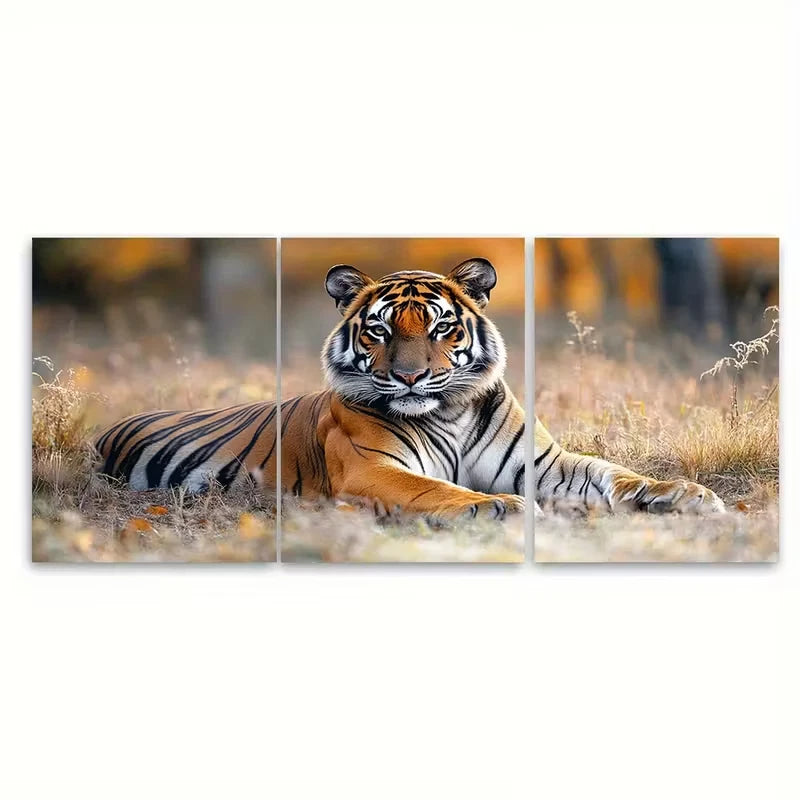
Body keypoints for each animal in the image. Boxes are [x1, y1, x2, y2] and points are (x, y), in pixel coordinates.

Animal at [96, 258, 526, 521]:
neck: (450, 412)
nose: (409, 376)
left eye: (441, 327)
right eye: (379, 330)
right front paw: (500, 504)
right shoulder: (369, 469)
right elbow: (433, 488)